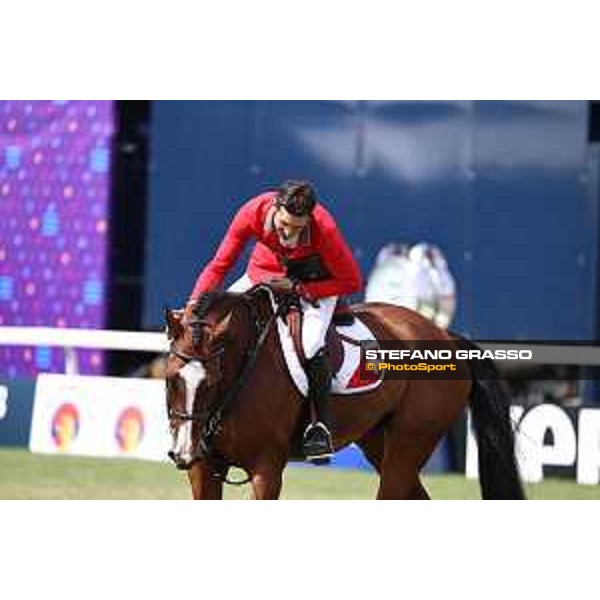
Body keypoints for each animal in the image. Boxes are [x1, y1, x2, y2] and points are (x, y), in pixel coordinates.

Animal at [164, 284, 524, 500]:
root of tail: (446, 336)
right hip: (379, 442)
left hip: (409, 444)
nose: (182, 453)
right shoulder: (203, 469)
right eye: (170, 380)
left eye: (211, 382)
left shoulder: (267, 468)